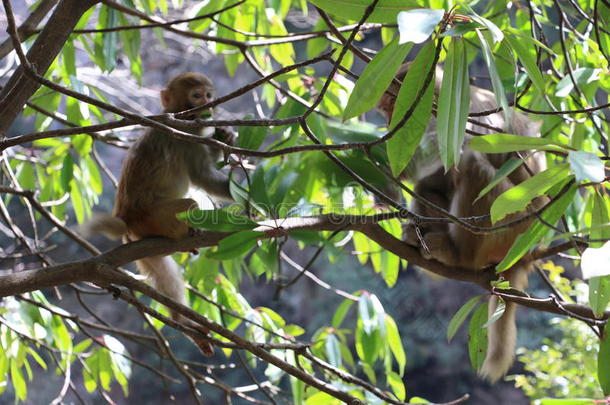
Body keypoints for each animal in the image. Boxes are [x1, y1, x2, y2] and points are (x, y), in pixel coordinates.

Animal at [86, 72, 234, 354]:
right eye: (196, 96)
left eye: (208, 95)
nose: (208, 105)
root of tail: (126, 221)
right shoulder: (186, 141)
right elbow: (204, 178)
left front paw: (226, 136)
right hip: (156, 219)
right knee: (191, 204)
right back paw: (190, 232)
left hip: (144, 241)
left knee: (162, 269)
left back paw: (181, 320)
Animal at [378, 64, 544, 382]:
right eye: (385, 109)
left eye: (394, 103)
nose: (390, 124)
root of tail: (527, 254)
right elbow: (434, 177)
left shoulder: (457, 116)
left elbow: (451, 154)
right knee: (435, 183)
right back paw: (424, 242)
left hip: (512, 223)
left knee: (471, 164)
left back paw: (458, 256)